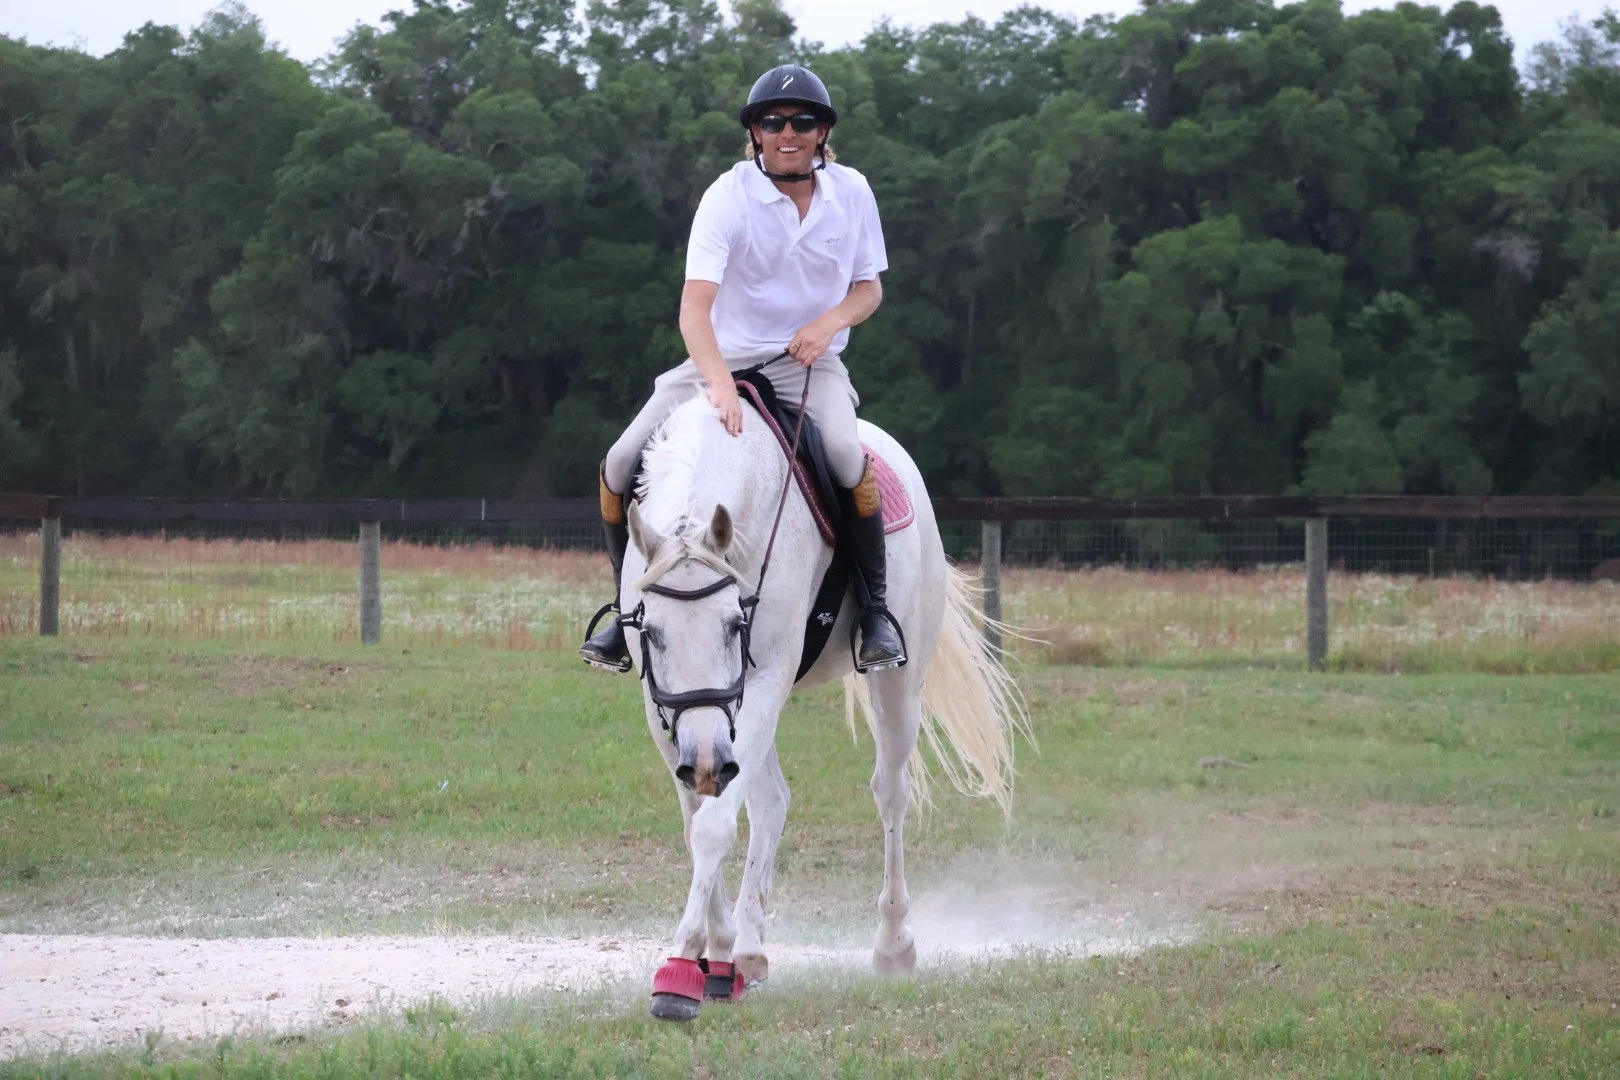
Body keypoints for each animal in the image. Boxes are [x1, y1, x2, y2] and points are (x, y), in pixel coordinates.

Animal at [618, 386, 1026, 1022]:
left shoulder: (761, 682)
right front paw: (717, 949)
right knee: (770, 801)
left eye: (736, 625)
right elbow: (699, 819)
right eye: (652, 632)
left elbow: (713, 826)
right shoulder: (668, 708)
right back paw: (746, 948)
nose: (706, 761)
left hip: (897, 687)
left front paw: (680, 967)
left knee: (889, 794)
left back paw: (893, 944)